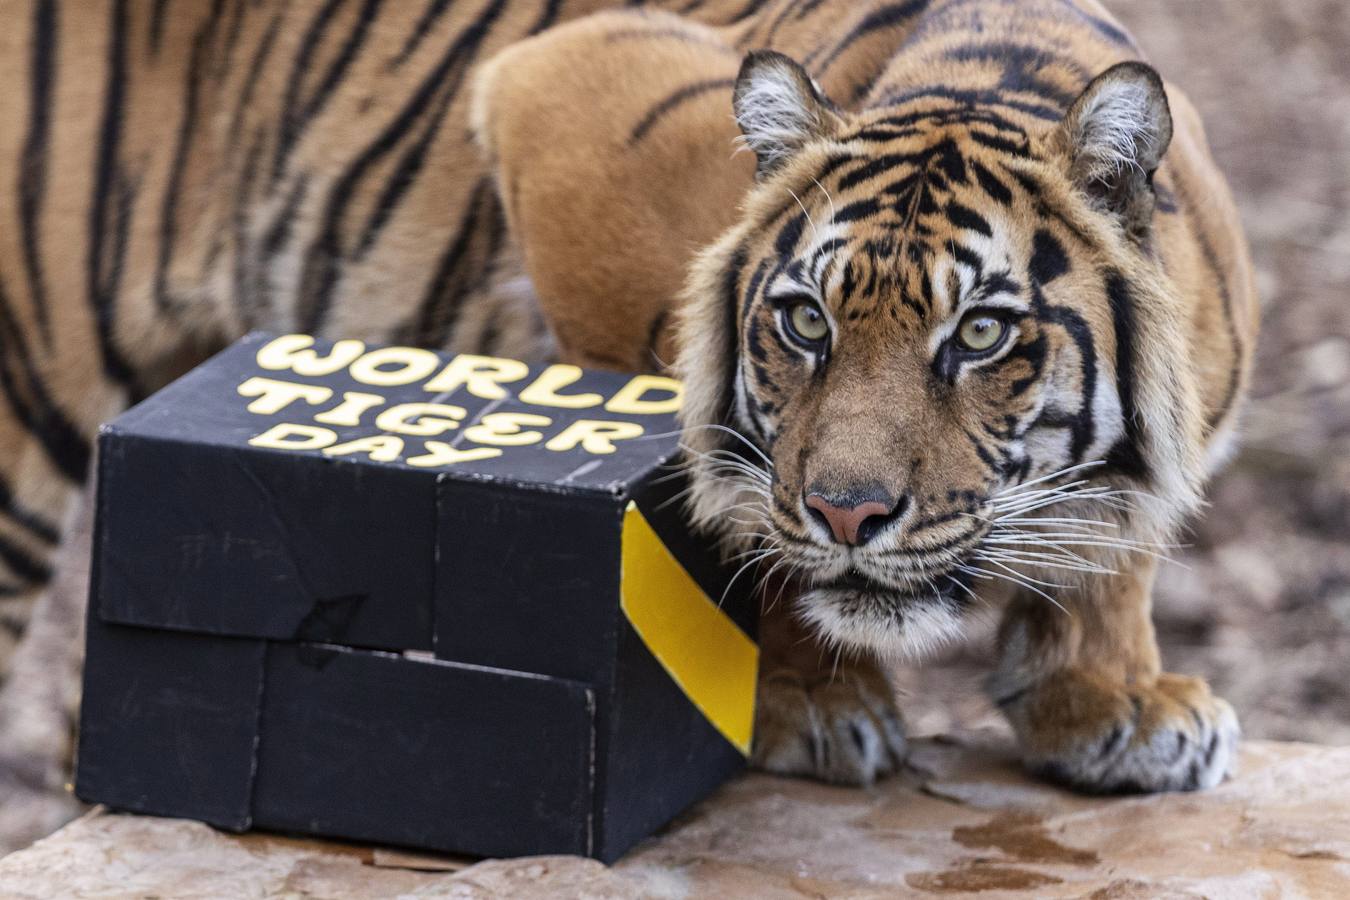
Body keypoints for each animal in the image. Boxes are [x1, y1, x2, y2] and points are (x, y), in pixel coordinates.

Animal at [0, 0, 1247, 820]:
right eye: (805, 322)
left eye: (980, 335)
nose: (849, 516)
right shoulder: (555, 91)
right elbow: (720, 497)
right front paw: (796, 696)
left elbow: (1117, 550)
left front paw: (1113, 701)